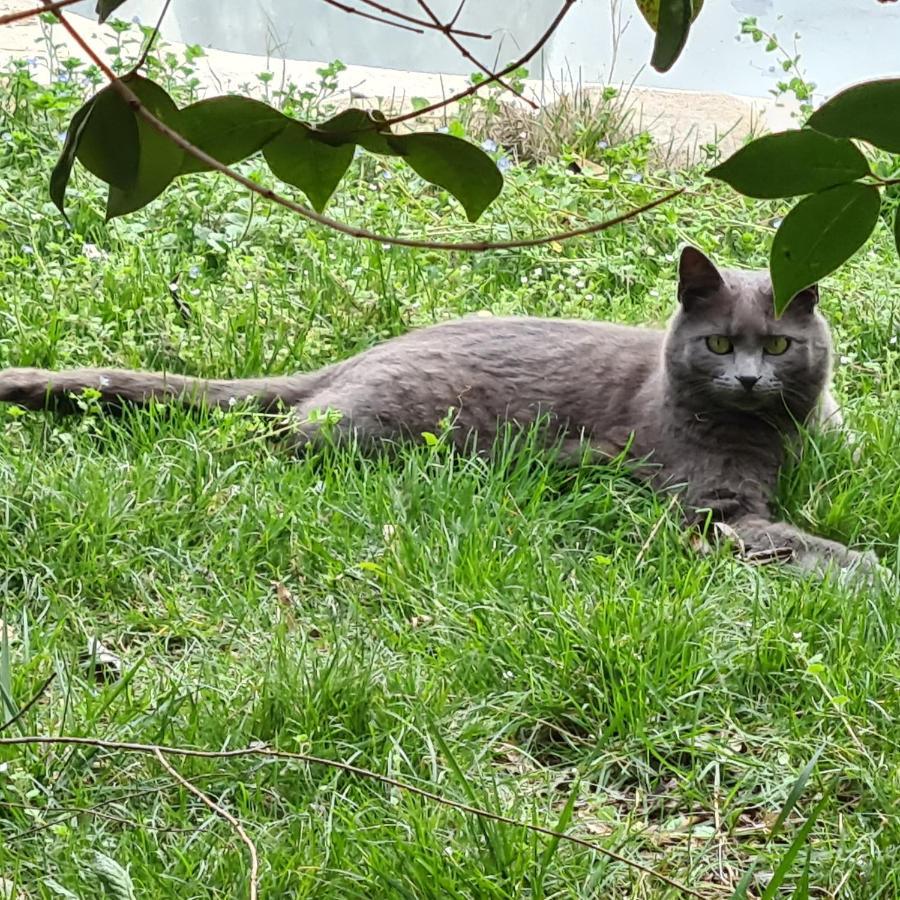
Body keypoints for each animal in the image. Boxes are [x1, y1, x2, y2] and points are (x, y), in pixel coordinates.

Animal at [0, 246, 888, 584]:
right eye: (719, 344)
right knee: (290, 436)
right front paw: (877, 576)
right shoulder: (715, 507)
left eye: (778, 345)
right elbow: (803, 542)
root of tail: (358, 356)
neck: (784, 434)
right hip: (385, 427)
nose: (746, 379)